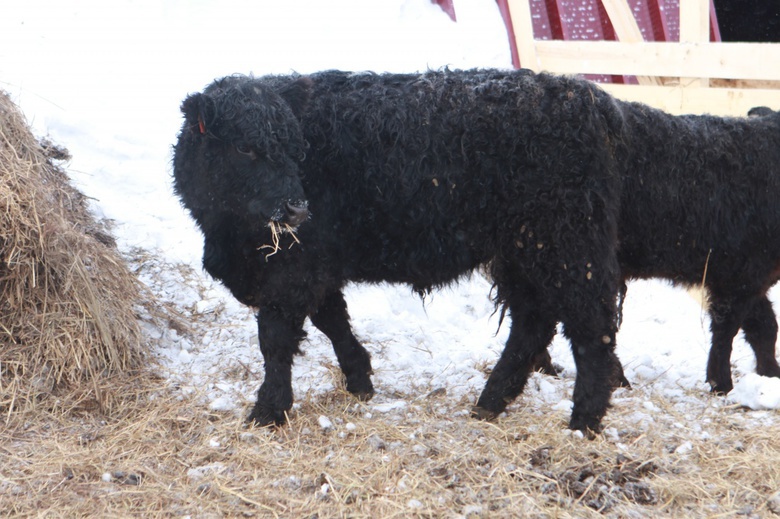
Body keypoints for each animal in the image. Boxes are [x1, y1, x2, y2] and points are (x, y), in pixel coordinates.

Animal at [174, 70, 624, 434]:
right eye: (244, 148)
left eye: (296, 147)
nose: (298, 208)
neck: (225, 236)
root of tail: (585, 96)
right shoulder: (318, 267)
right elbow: (332, 320)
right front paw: (360, 379)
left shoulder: (293, 273)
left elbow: (276, 339)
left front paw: (269, 410)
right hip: (524, 255)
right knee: (534, 325)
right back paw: (490, 403)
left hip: (569, 250)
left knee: (592, 329)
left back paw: (584, 420)